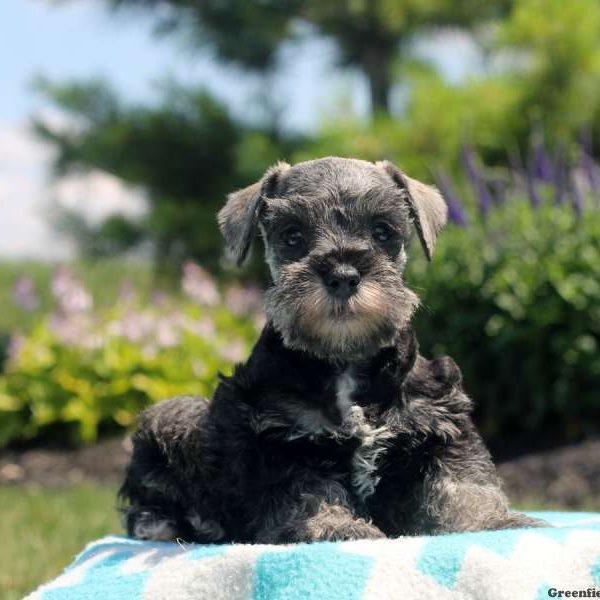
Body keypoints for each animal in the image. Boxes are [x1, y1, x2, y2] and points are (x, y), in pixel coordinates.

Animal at [119, 157, 540, 540]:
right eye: (292, 235)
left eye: (383, 230)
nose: (343, 276)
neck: (345, 362)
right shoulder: (279, 442)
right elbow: (309, 495)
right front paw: (335, 527)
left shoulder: (442, 424)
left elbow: (464, 484)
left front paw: (493, 522)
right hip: (171, 414)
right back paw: (163, 522)